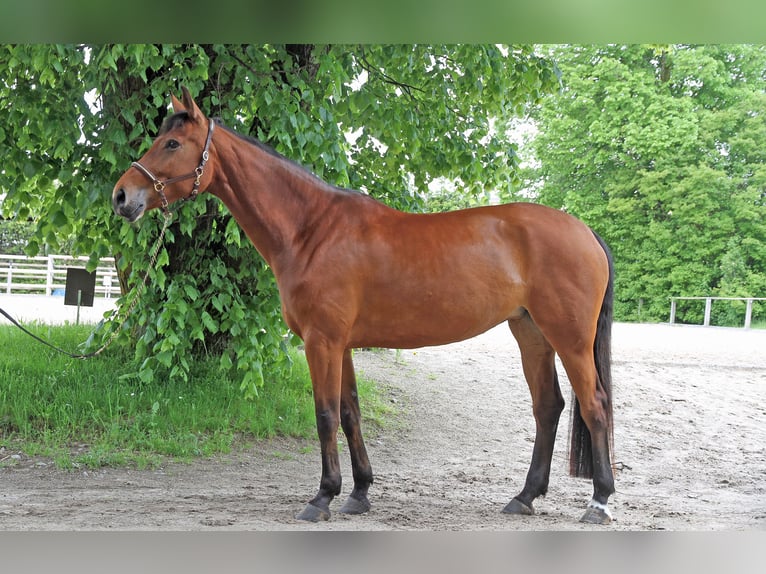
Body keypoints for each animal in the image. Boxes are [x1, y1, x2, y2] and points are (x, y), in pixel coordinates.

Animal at [114, 86, 616, 528]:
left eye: (173, 143)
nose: (122, 196)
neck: (311, 230)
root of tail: (585, 231)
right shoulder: (343, 345)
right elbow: (350, 412)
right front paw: (358, 493)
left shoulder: (322, 342)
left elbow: (325, 415)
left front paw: (322, 497)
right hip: (531, 333)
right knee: (548, 407)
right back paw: (524, 497)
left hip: (569, 339)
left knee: (594, 405)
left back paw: (600, 501)